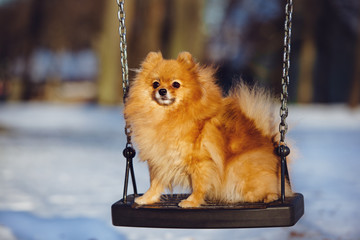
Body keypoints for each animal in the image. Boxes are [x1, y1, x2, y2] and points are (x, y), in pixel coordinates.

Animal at [124, 51, 292, 208]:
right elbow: (155, 183)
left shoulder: (201, 161)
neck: (168, 116)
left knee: (270, 189)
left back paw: (270, 196)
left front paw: (191, 202)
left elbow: (199, 185)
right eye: (155, 84)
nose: (162, 91)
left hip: (239, 169)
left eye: (176, 84)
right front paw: (146, 198)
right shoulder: (162, 158)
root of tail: (272, 145)